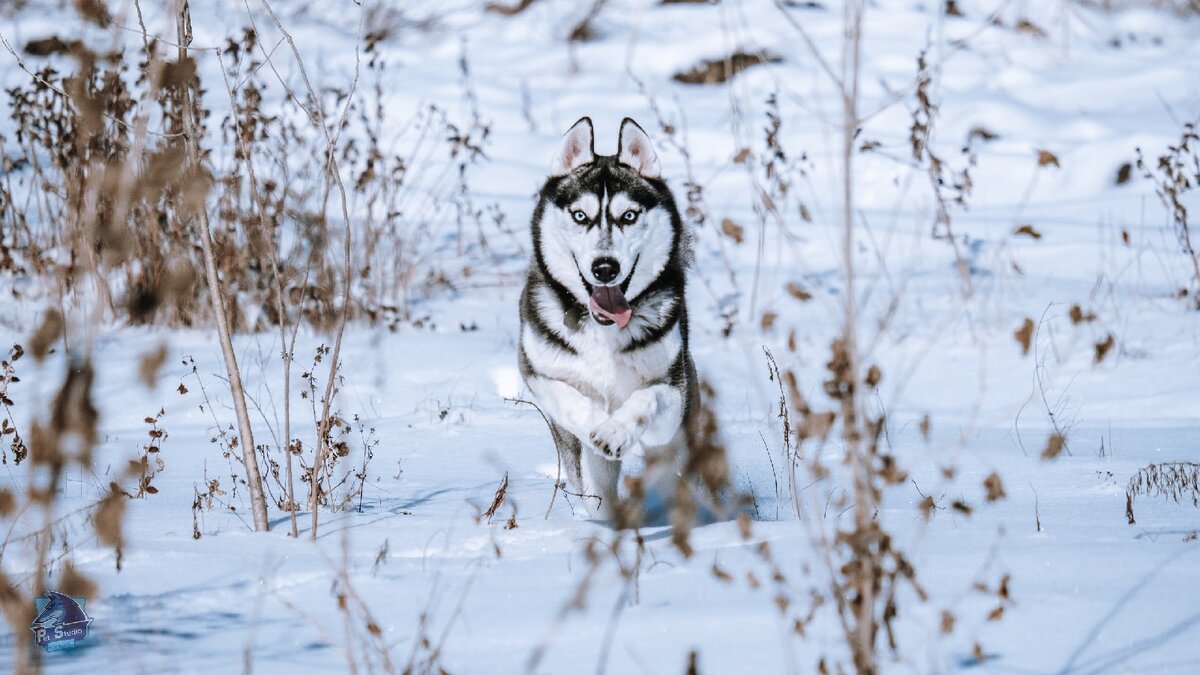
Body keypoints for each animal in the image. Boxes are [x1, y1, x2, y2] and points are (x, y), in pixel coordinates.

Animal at [520, 117, 700, 514]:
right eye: (580, 215)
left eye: (629, 216)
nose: (604, 268)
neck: (601, 330)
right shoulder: (538, 373)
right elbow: (570, 400)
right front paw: (598, 424)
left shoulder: (673, 392)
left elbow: (646, 400)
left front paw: (616, 429)